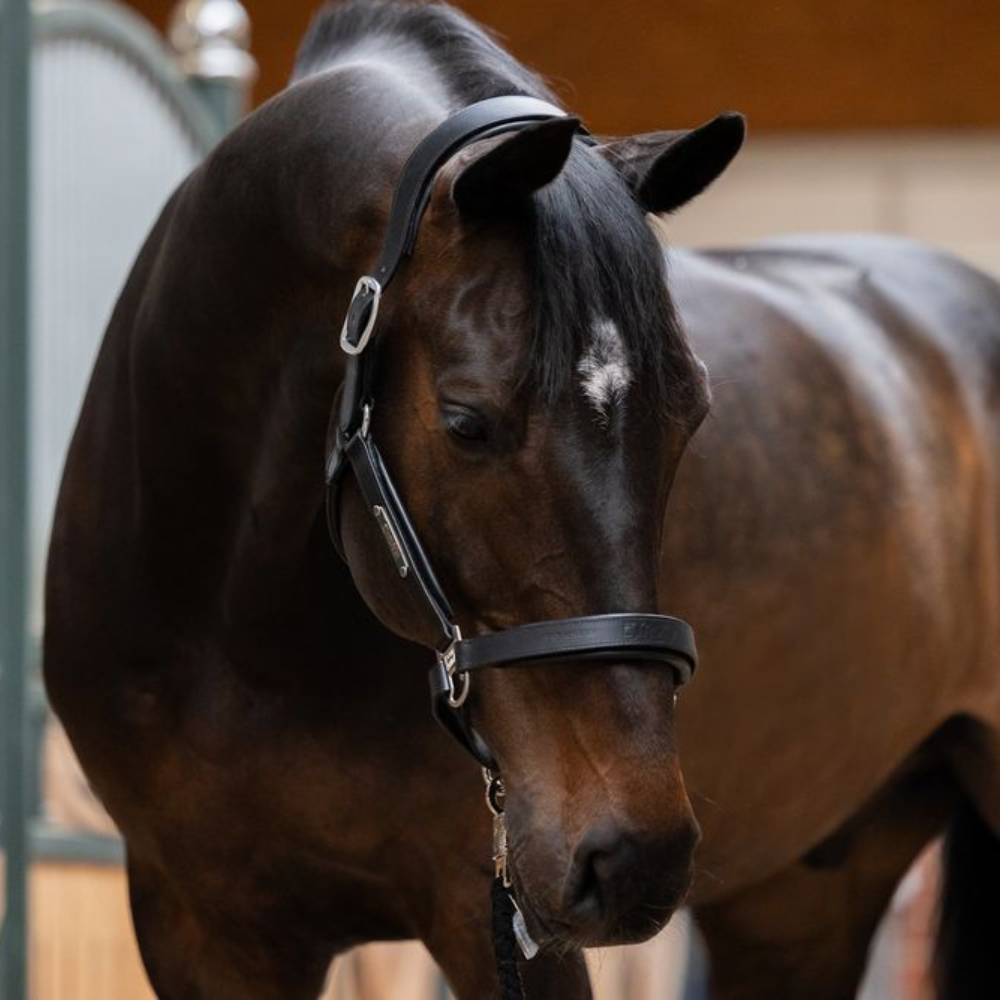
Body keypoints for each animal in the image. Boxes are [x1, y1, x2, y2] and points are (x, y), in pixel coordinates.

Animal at [43, 1, 1000, 998]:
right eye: (467, 422)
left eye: (691, 413)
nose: (636, 857)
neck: (234, 624)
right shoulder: (201, 927)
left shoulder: (493, 917)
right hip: (800, 900)